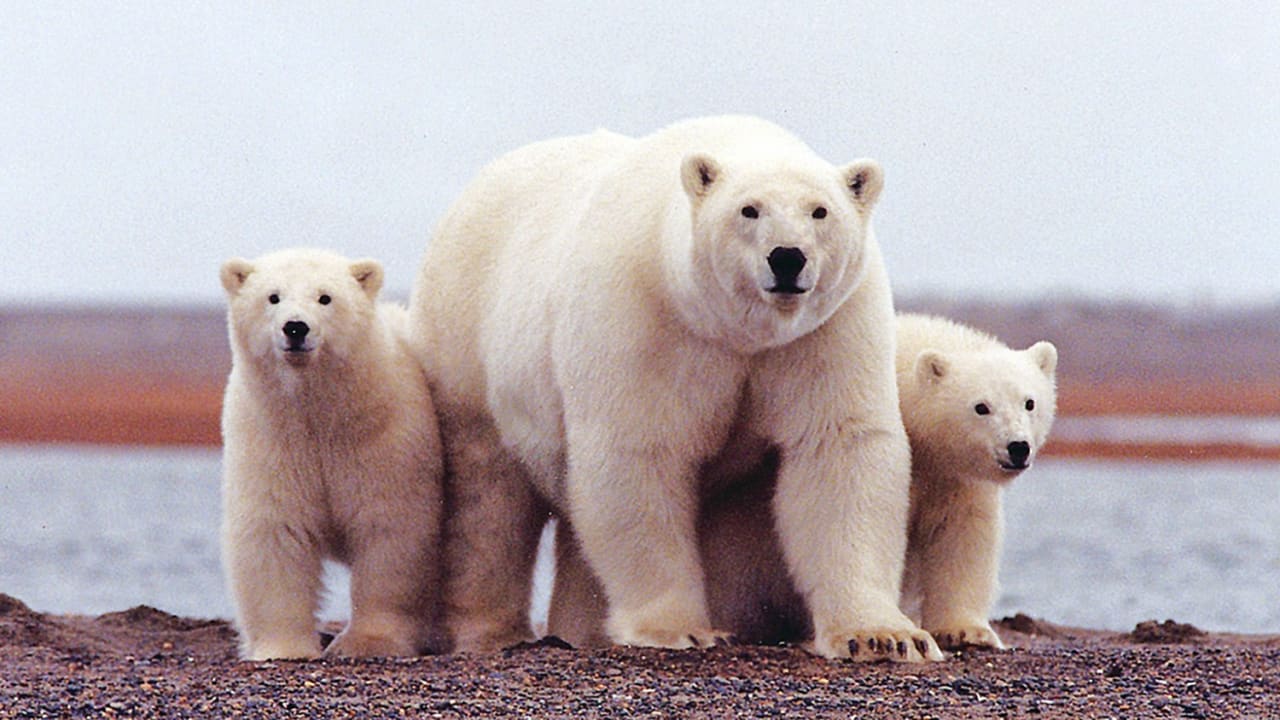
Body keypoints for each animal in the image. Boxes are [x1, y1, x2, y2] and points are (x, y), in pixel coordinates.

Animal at [219, 248, 444, 661]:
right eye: (273, 296)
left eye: (325, 297)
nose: (295, 328)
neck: (321, 416)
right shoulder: (271, 441)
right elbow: (275, 532)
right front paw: (284, 648)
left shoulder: (384, 440)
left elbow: (390, 532)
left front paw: (368, 642)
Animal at [409, 115, 941, 662]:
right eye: (749, 209)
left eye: (820, 210)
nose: (787, 258)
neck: (735, 331)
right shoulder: (646, 318)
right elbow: (639, 453)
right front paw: (680, 628)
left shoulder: (825, 330)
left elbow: (838, 448)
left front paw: (883, 636)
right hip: (467, 342)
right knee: (488, 499)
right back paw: (491, 631)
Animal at [550, 313, 1058, 653]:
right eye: (980, 407)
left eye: (1029, 402)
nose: (1017, 448)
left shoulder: (953, 477)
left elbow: (962, 536)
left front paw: (966, 631)